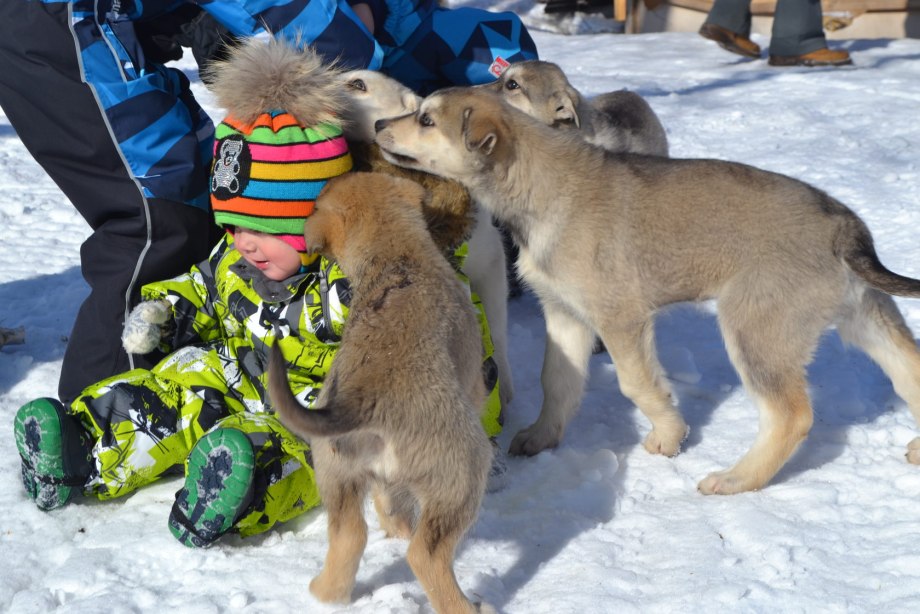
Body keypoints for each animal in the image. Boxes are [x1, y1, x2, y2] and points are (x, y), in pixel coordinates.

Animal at [268, 172, 496, 614]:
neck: (396, 255)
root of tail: (360, 401)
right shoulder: (473, 381)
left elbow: (385, 504)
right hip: (462, 477)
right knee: (425, 556)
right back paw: (472, 607)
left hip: (335, 475)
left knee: (349, 535)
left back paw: (325, 593)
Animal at [376, 89, 920, 498]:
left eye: (426, 119)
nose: (378, 123)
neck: (539, 185)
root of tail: (843, 225)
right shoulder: (565, 314)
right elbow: (558, 380)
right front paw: (543, 435)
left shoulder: (620, 317)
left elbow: (636, 384)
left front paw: (669, 437)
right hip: (865, 316)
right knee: (909, 371)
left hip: (755, 331)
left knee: (791, 416)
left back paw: (736, 479)